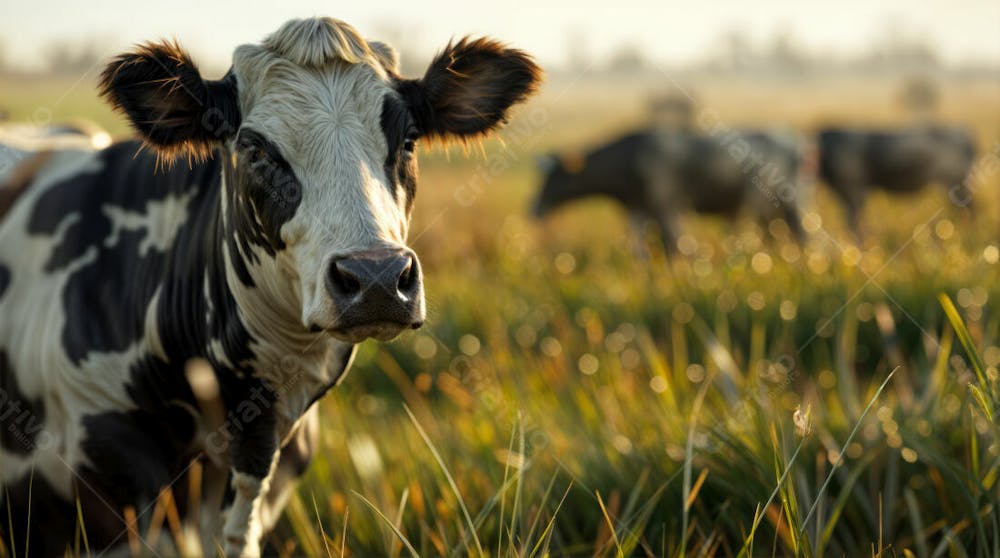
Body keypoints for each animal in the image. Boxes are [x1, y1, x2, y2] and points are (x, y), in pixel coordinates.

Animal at [532, 129, 804, 254]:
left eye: (554, 177)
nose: (533, 209)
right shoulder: (637, 210)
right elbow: (640, 251)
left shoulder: (666, 207)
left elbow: (675, 245)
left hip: (771, 205)